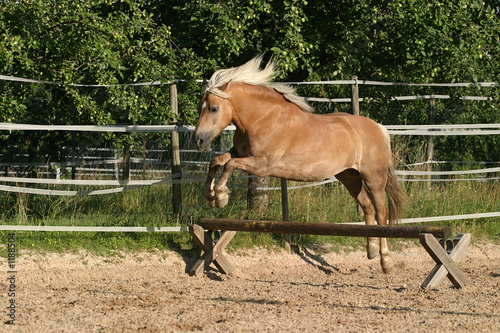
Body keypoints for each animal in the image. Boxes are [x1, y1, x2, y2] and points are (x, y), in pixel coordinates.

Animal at [192, 54, 406, 272]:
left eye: (214, 108)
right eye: (200, 107)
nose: (198, 141)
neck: (262, 118)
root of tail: (379, 128)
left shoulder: (263, 165)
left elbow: (230, 165)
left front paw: (220, 196)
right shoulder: (241, 153)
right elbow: (217, 161)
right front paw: (210, 195)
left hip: (373, 178)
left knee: (381, 211)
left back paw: (386, 261)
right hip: (349, 177)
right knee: (367, 206)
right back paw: (371, 250)